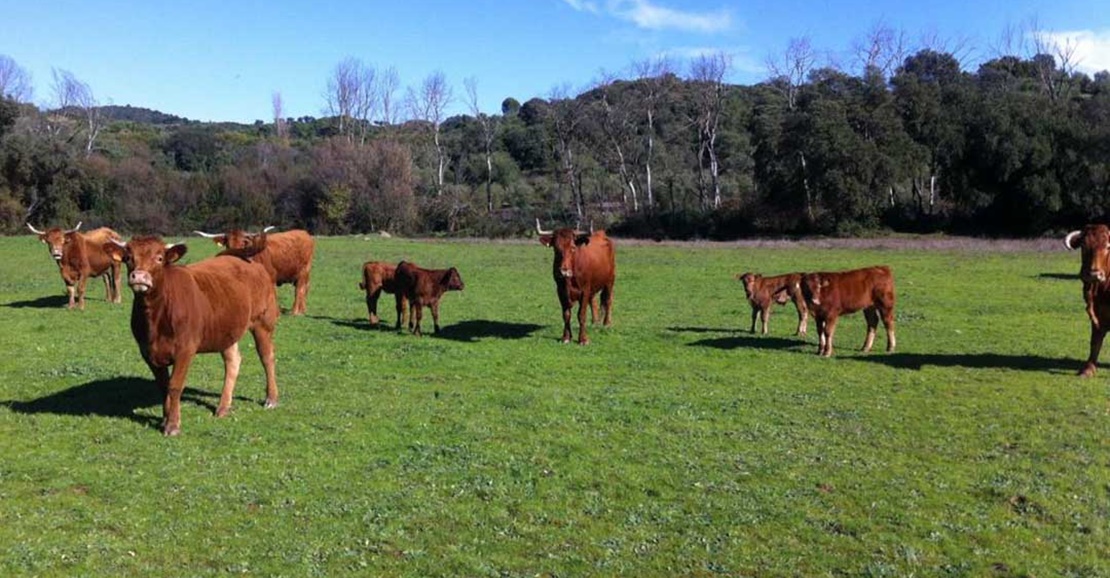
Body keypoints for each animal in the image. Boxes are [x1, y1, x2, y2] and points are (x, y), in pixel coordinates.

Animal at [104, 234, 279, 432]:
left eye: (159, 258)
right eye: (128, 258)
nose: (139, 276)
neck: (155, 319)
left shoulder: (185, 349)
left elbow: (175, 385)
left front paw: (173, 424)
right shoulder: (147, 352)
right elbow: (163, 386)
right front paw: (165, 419)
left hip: (263, 323)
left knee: (267, 357)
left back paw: (271, 399)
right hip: (226, 330)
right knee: (233, 361)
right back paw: (223, 407)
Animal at [1061, 225, 1110, 374]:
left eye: (1108, 246)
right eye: (1084, 246)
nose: (1094, 274)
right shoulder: (1097, 314)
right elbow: (1095, 341)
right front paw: (1088, 369)